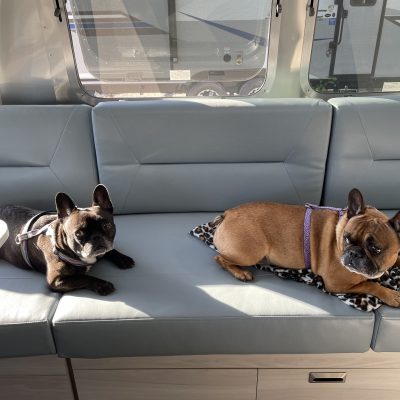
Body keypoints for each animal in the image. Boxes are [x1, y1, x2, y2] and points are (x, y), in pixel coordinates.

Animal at [0, 184, 134, 295]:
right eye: (78, 234)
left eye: (107, 226)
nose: (97, 237)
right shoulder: (56, 280)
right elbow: (83, 278)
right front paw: (103, 285)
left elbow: (110, 250)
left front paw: (123, 259)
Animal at [213, 188, 400, 307]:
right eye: (347, 238)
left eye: (375, 249)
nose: (353, 253)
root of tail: (228, 213)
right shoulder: (337, 285)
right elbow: (370, 285)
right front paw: (391, 295)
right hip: (250, 253)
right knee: (219, 258)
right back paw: (240, 273)